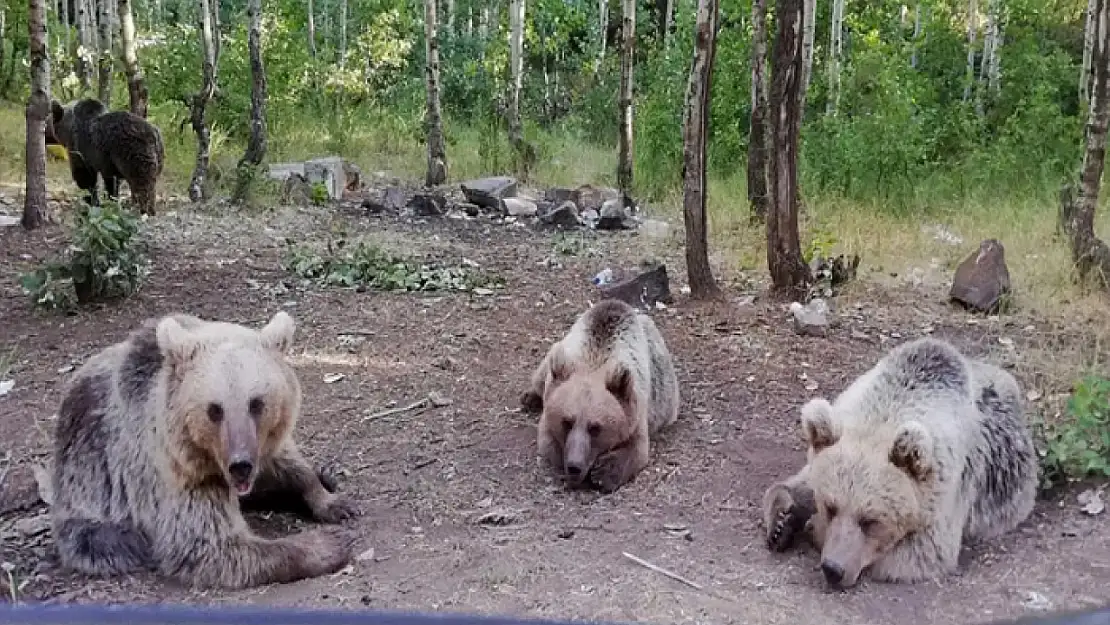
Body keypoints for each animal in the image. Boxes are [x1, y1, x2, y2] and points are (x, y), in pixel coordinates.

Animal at [49, 310, 359, 590]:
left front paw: (333, 500)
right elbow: (212, 546)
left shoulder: (261, 449)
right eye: (214, 409)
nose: (240, 465)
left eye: (256, 403)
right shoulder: (178, 475)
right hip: (88, 499)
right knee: (104, 541)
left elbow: (289, 465)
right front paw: (329, 544)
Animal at [521, 299, 683, 495]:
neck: (595, 363)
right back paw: (529, 398)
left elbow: (637, 449)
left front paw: (603, 474)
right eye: (567, 422)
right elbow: (549, 443)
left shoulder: (635, 408)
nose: (574, 466)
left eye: (595, 427)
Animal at [763, 335, 1038, 590]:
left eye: (870, 520)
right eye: (831, 507)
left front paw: (811, 527)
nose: (833, 569)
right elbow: (797, 483)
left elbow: (920, 553)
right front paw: (782, 521)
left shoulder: (947, 492)